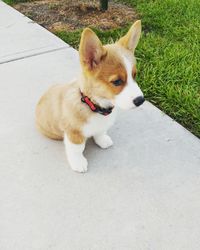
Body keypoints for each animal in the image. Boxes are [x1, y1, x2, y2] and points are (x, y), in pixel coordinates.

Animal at [35, 20, 144, 173]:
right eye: (117, 82)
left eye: (134, 75)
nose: (141, 100)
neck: (94, 105)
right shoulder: (73, 133)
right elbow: (77, 149)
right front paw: (78, 163)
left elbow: (100, 132)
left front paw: (102, 140)